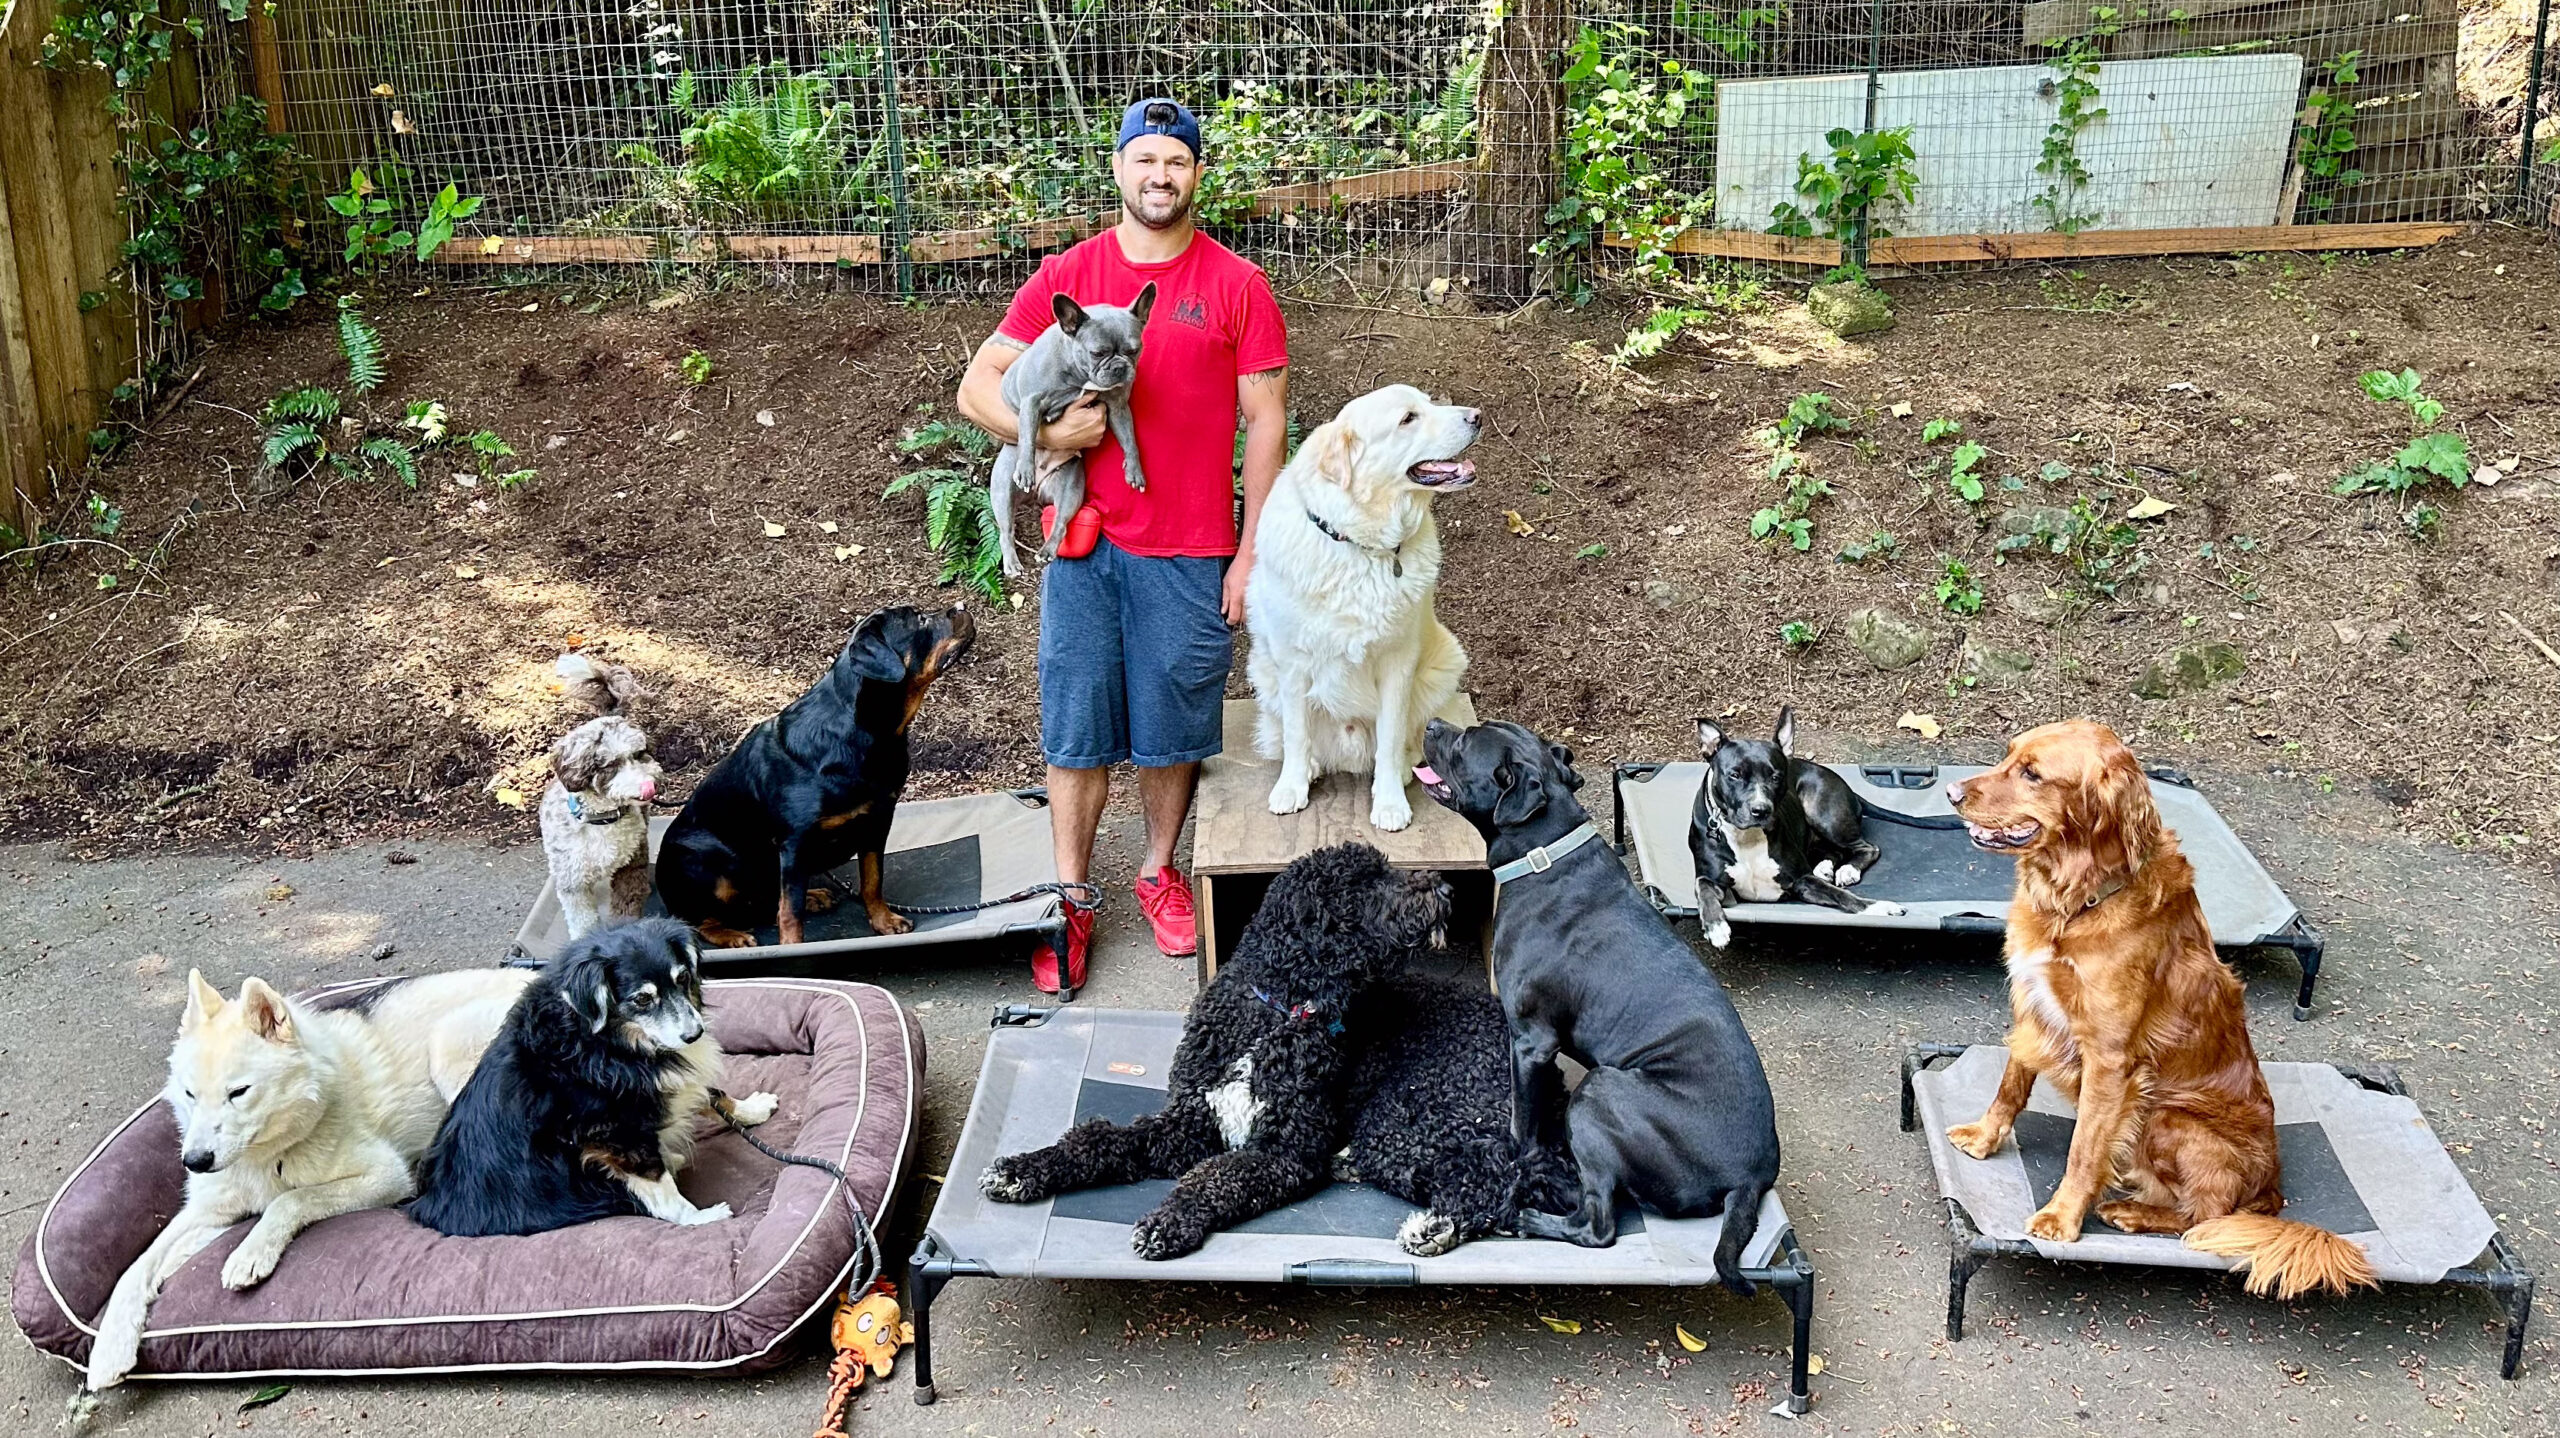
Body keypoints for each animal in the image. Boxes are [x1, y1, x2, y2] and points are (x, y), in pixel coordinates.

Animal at [82, 967, 532, 1381]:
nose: (194, 1161)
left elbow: (289, 1199)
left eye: (239, 1092)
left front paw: (251, 1251)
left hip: (450, 1045)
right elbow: (136, 1267)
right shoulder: (207, 1212)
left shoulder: (385, 1175)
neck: (268, 1155)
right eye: (191, 1093)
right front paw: (110, 1347)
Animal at [655, 601, 972, 946]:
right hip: (701, 864)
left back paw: (813, 896)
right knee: (701, 919)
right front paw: (791, 947)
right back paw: (731, 934)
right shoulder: (795, 843)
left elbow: (872, 879)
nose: (961, 606)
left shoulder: (878, 821)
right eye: (919, 620)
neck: (870, 731)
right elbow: (790, 911)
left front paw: (883, 920)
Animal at [972, 839, 1443, 1253]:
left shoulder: (1282, 1152)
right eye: (1368, 882)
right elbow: (1100, 1138)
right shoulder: (1190, 1122)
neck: (1273, 1011)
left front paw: (1169, 1220)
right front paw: (1024, 1167)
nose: (1443, 887)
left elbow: (1212, 1176)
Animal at [1239, 381, 1484, 829]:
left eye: (1430, 403)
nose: (1477, 416)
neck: (1359, 545)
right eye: (1408, 418)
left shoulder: (1398, 664)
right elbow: (1297, 735)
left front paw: (1389, 804)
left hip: (1442, 665)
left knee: (1410, 740)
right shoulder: (1292, 662)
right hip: (1264, 673)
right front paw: (1291, 789)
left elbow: (1389, 739)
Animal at [1689, 701, 1914, 946]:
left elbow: (1843, 896)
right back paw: (1825, 867)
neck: (1747, 837)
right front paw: (1716, 926)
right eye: (1734, 775)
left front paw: (1878, 907)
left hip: (1824, 814)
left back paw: (1847, 869)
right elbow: (1703, 887)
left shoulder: (1802, 882)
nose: (1761, 810)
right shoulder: (1717, 884)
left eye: (1776, 777)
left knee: (1866, 847)